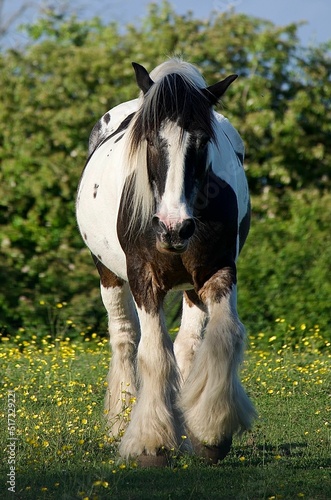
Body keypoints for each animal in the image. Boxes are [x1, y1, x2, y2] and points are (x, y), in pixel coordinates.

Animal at [76, 58, 258, 464]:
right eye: (148, 140)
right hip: (109, 275)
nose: (174, 227)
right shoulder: (144, 277)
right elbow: (153, 352)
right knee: (124, 337)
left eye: (202, 141)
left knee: (188, 343)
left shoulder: (218, 270)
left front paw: (210, 431)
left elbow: (223, 337)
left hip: (192, 286)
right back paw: (123, 420)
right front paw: (151, 443)